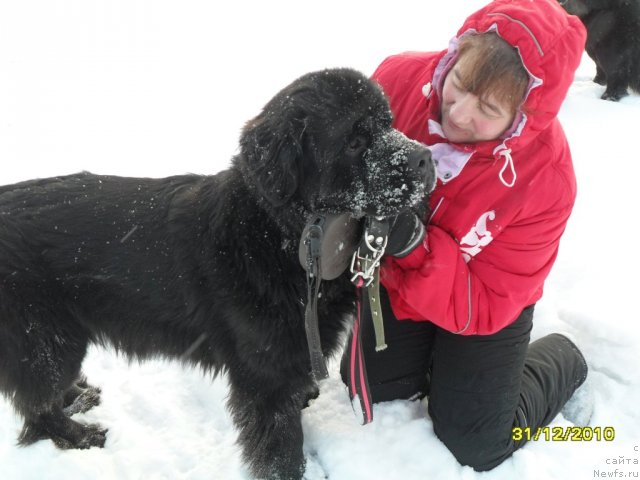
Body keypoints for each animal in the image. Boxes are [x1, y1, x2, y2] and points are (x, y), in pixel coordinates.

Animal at [0, 68, 436, 480]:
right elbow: (281, 447)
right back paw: (80, 433)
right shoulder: (265, 376)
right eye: (355, 142)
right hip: (46, 342)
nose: (427, 159)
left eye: (390, 123)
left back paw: (79, 396)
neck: (280, 235)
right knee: (36, 410)